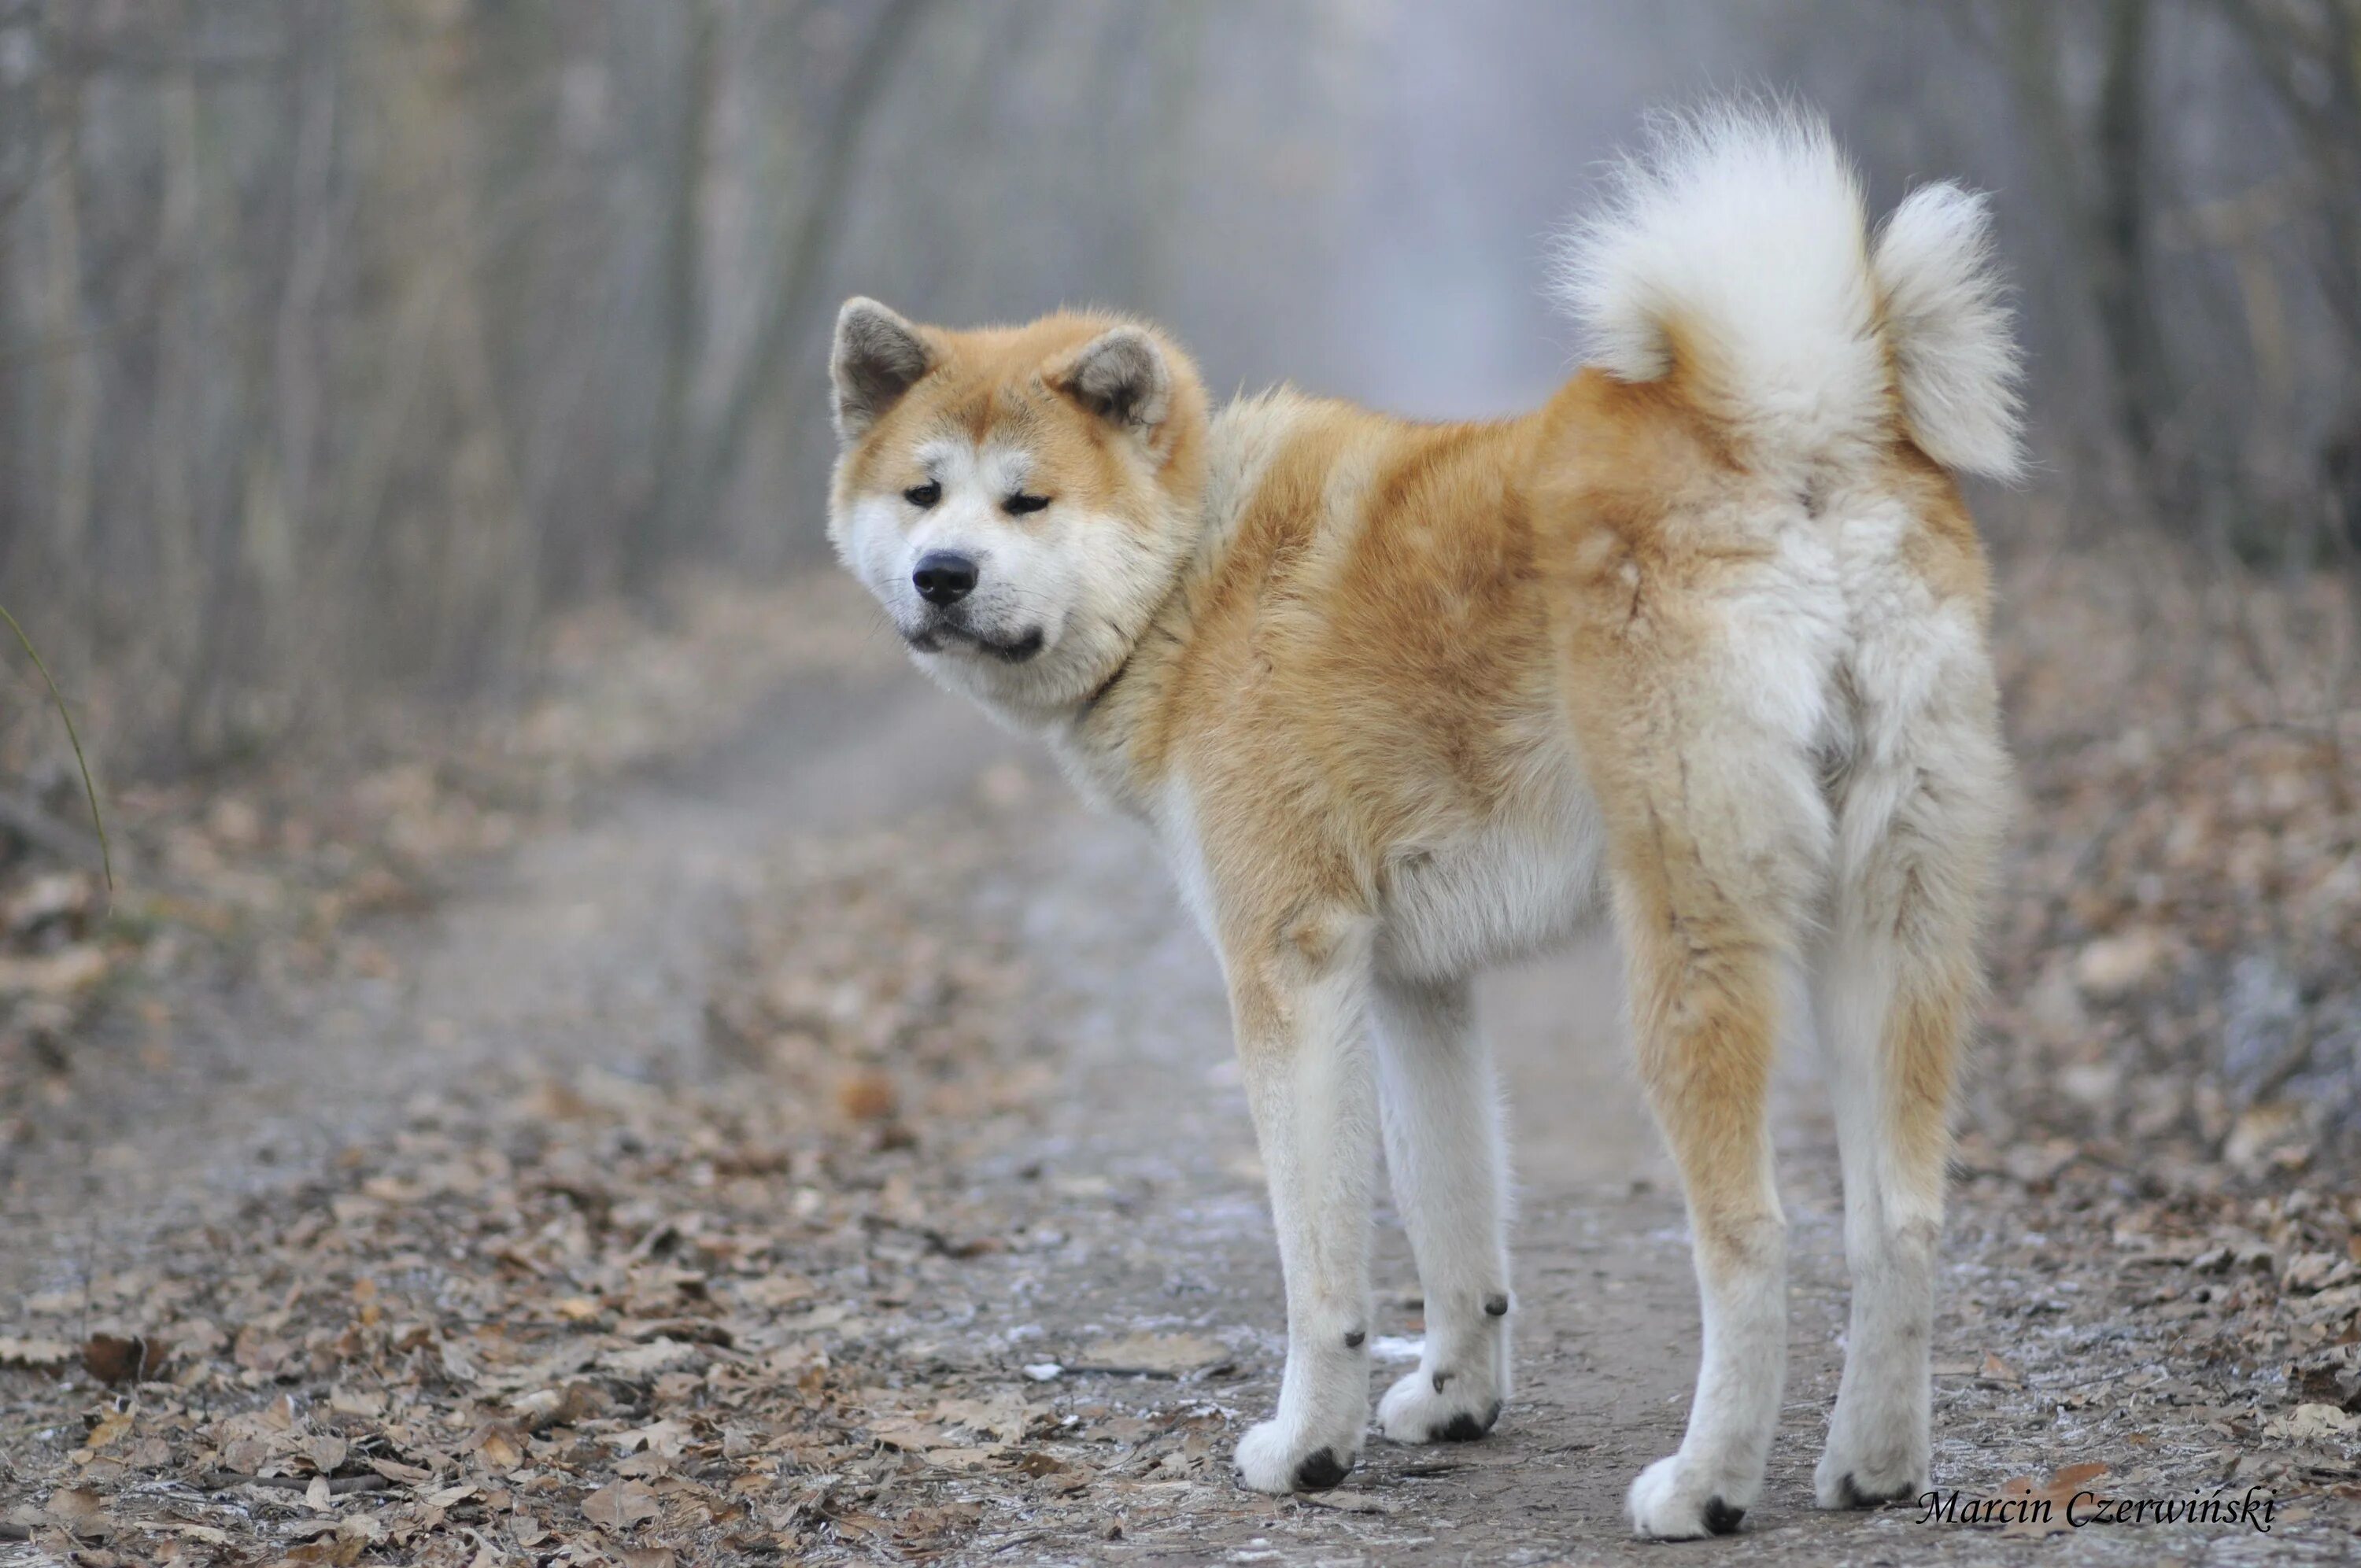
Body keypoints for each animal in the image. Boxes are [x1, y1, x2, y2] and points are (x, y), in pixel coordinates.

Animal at [822, 110, 2021, 1539]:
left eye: (1027, 502)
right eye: (921, 492)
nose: (942, 576)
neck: (1199, 577)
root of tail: (1803, 429)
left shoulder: (1288, 969)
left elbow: (1322, 1269)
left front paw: (1308, 1445)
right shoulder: (1414, 985)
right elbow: (1456, 1223)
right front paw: (1457, 1397)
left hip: (1690, 946)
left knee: (1753, 1235)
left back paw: (1708, 1482)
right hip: (1895, 927)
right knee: (1903, 1221)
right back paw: (1877, 1463)